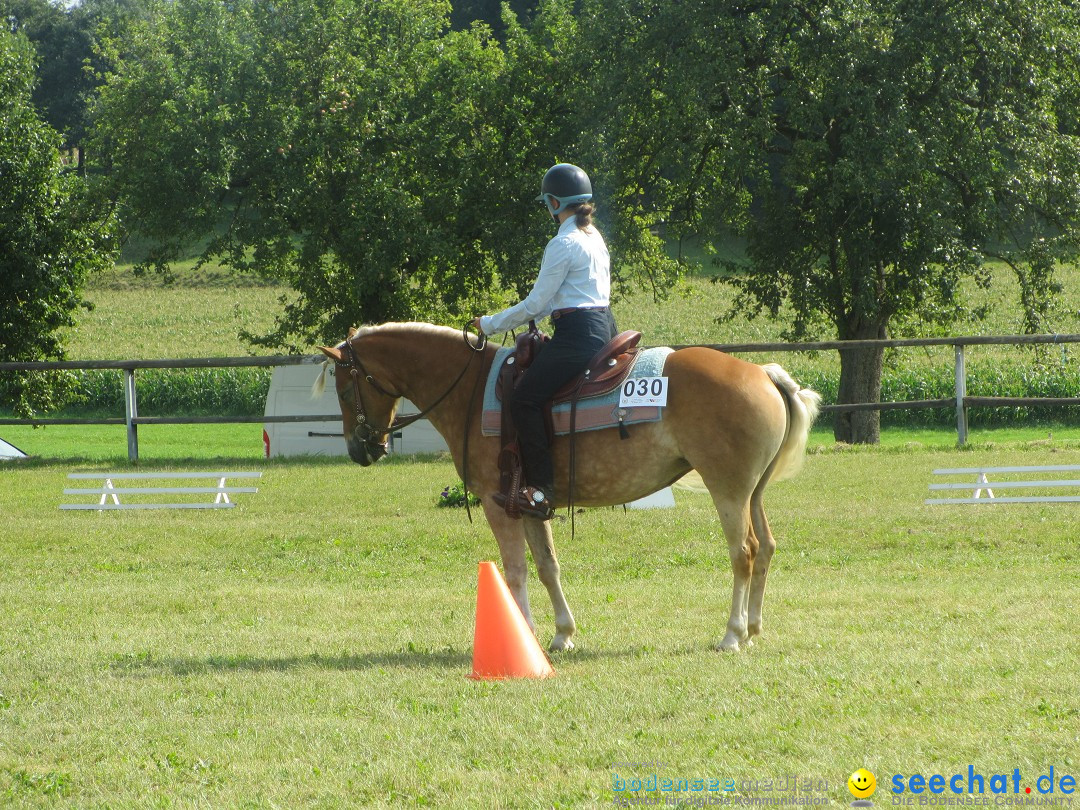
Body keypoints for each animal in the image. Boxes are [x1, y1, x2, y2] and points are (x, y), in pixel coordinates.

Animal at [315, 321, 820, 652]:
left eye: (344, 388)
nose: (362, 449)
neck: (471, 388)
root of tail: (762, 372)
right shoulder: (529, 502)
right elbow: (547, 567)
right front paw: (562, 633)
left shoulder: (498, 504)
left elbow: (515, 571)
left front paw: (524, 635)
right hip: (753, 493)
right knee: (767, 547)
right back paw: (753, 629)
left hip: (728, 491)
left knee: (744, 552)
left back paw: (732, 634)